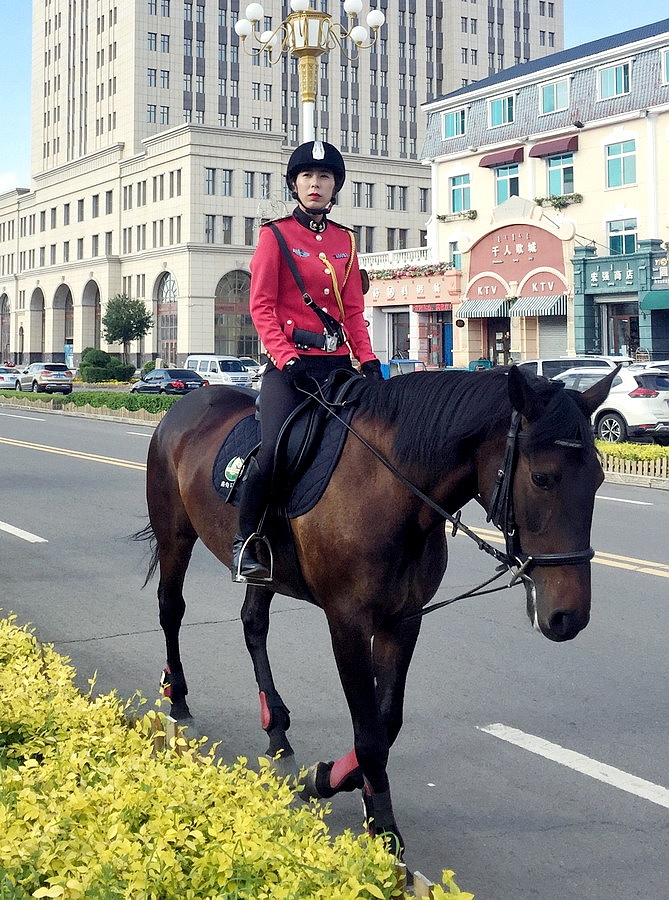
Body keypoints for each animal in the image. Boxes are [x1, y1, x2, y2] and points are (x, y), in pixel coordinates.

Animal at [137, 364, 616, 852]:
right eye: (542, 479)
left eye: (598, 478)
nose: (569, 617)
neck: (393, 492)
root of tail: (186, 403)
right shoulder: (347, 623)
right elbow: (369, 734)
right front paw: (381, 825)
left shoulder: (403, 620)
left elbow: (387, 723)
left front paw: (334, 780)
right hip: (176, 535)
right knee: (170, 609)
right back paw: (177, 699)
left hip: (266, 571)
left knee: (253, 624)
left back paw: (277, 732)